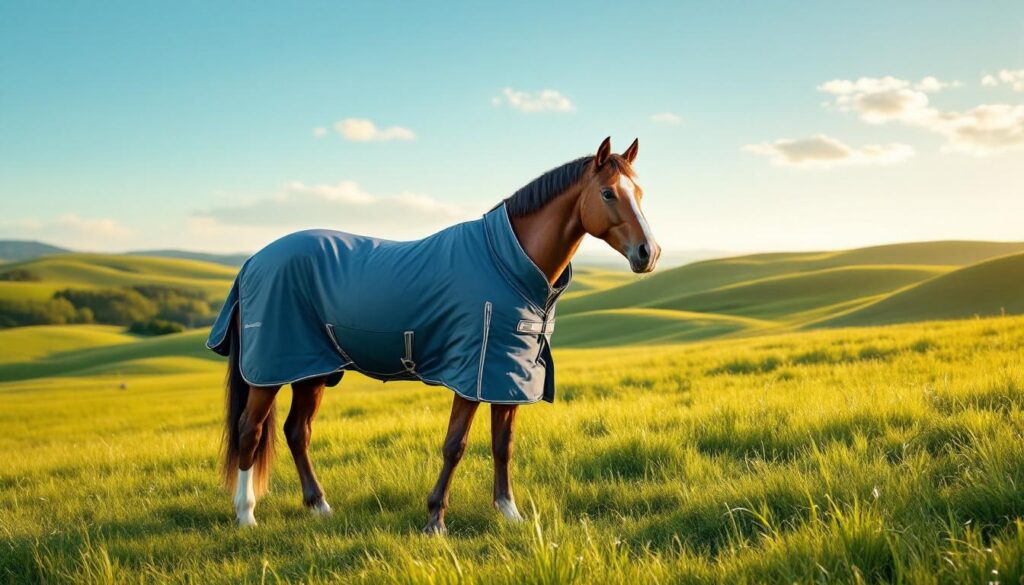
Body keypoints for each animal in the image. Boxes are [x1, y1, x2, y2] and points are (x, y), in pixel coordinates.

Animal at [206, 136, 660, 533]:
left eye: (640, 193)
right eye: (608, 194)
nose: (649, 253)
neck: (506, 262)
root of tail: (252, 261)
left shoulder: (506, 376)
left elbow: (503, 444)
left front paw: (508, 512)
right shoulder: (472, 375)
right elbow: (455, 445)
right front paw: (435, 520)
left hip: (312, 370)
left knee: (297, 432)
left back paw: (320, 506)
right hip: (270, 372)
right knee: (250, 431)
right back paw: (246, 515)